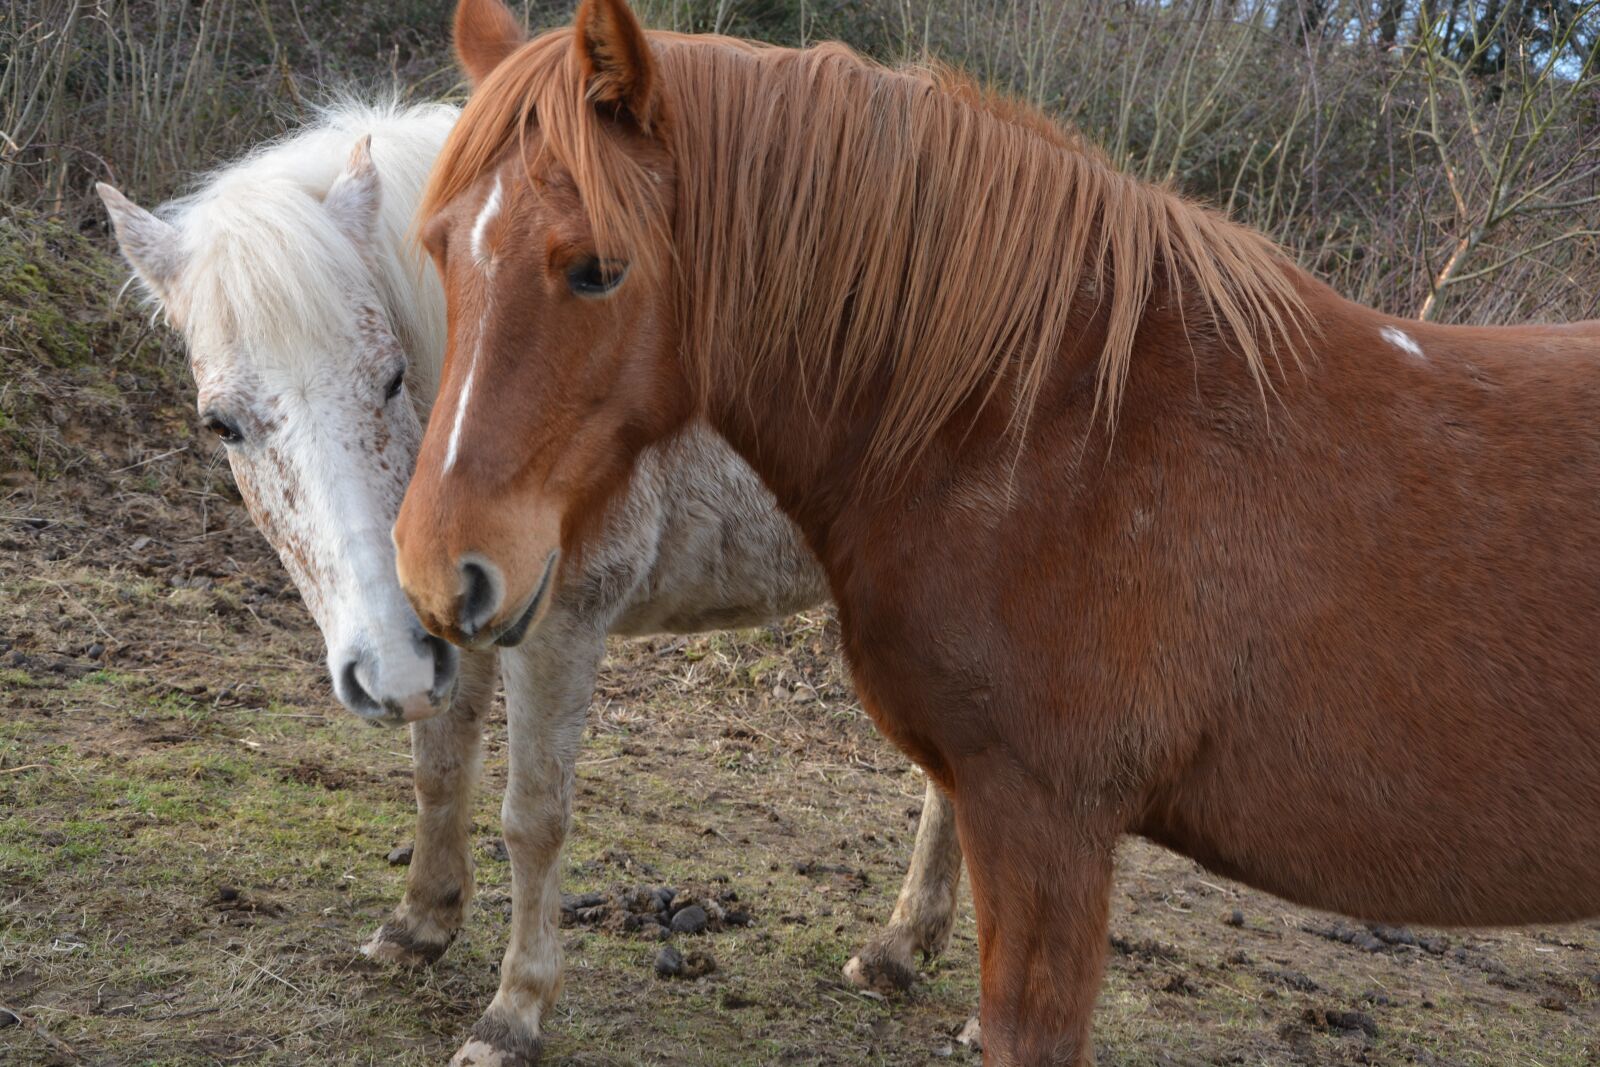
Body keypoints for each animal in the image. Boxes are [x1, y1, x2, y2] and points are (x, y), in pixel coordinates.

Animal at [96, 99, 967, 1067]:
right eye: (223, 424)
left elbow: (533, 817)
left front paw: (513, 1011)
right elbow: (439, 765)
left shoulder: (554, 630)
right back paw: (899, 949)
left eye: (391, 376)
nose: (384, 669)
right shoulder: (444, 619)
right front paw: (419, 924)